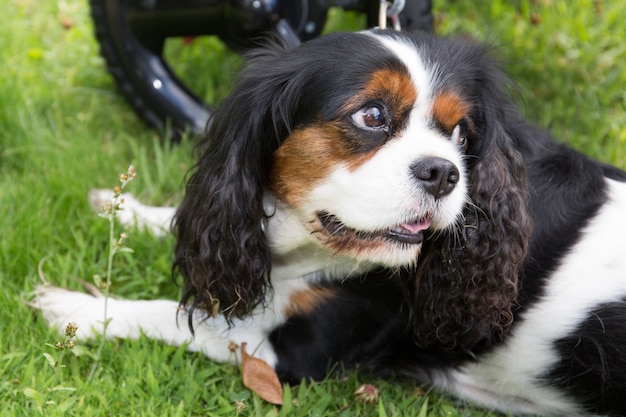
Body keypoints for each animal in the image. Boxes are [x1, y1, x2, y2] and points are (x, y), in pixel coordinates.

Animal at [34, 30, 624, 416]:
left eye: (461, 131)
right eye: (372, 115)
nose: (444, 173)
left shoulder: (297, 353)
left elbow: (183, 320)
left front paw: (78, 309)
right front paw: (124, 210)